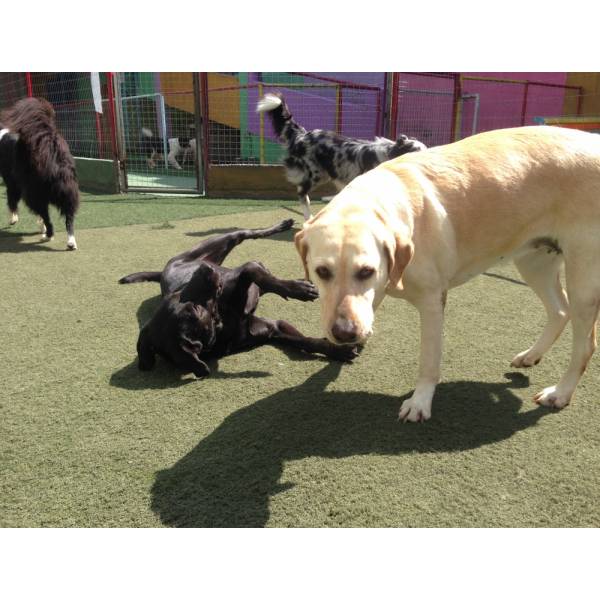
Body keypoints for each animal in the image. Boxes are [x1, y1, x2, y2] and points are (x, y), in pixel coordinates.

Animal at [0, 96, 79, 251]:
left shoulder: (12, 183)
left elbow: (11, 202)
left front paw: (13, 219)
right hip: (68, 191)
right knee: (69, 218)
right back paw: (71, 242)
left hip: (35, 193)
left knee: (46, 216)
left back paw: (47, 235)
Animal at [119, 220, 358, 378]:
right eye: (194, 311)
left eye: (178, 293)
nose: (205, 269)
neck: (224, 323)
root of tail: (164, 270)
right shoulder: (272, 330)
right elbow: (252, 270)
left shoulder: (273, 323)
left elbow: (253, 270)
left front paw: (336, 349)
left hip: (218, 243)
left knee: (244, 233)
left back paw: (284, 226)